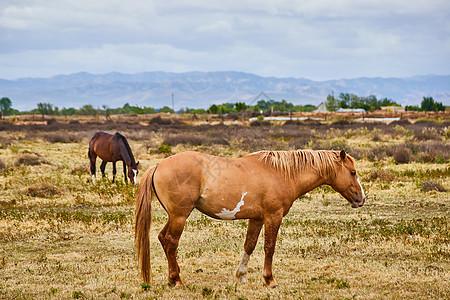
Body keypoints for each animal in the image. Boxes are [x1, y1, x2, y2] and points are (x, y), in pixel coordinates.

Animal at [134, 149, 366, 288]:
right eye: (353, 172)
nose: (361, 199)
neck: (282, 173)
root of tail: (158, 165)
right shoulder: (273, 217)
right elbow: (269, 247)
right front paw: (269, 280)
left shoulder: (256, 219)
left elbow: (250, 245)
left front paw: (241, 275)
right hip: (180, 216)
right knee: (171, 242)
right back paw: (177, 280)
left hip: (174, 216)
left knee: (163, 239)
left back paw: (172, 279)